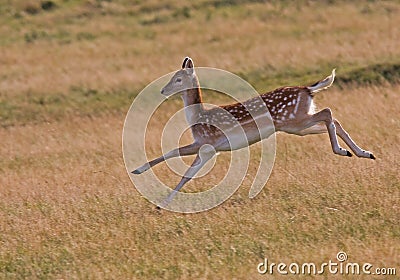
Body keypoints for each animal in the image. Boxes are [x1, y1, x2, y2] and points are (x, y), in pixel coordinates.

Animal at [132, 56, 376, 206]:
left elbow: (179, 163)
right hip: (297, 126)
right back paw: (361, 152)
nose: (163, 90)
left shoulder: (207, 144)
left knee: (327, 112)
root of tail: (307, 89)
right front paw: (157, 196)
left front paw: (152, 191)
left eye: (178, 79)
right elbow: (183, 167)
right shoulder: (208, 148)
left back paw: (344, 151)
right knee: (332, 119)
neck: (197, 118)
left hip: (294, 119)